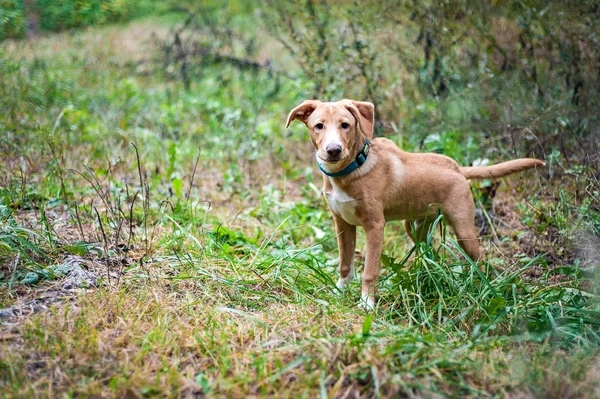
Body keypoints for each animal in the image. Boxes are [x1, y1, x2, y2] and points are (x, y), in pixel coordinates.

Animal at [286, 98, 544, 310]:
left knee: (477, 260)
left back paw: (479, 287)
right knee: (431, 252)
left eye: (345, 125)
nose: (333, 150)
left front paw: (367, 304)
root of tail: (458, 168)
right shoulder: (342, 224)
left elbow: (370, 271)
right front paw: (339, 292)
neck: (350, 170)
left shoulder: (375, 227)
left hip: (464, 229)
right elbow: (345, 265)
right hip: (416, 228)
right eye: (319, 126)